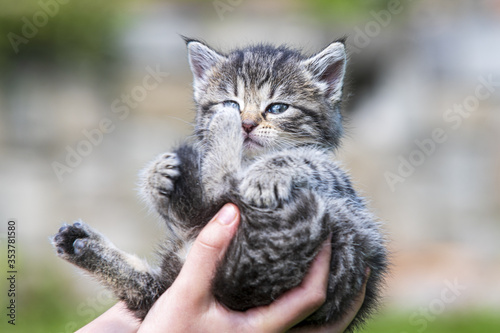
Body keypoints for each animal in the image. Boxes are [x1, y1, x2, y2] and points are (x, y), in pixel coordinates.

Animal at [52, 38, 388, 330]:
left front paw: (266, 172)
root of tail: (236, 290)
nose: (245, 123)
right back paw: (81, 245)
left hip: (325, 224)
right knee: (150, 288)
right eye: (231, 101)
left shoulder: (339, 183)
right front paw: (156, 174)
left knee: (218, 190)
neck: (247, 160)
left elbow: (309, 160)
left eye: (278, 108)